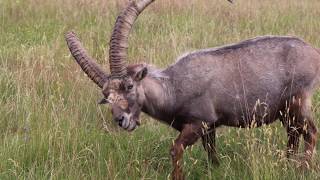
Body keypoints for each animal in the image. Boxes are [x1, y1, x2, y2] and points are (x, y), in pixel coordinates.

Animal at [64, 0, 318, 179]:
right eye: (106, 96)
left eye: (129, 85)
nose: (121, 120)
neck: (173, 88)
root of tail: (313, 52)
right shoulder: (210, 129)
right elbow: (212, 154)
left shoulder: (199, 122)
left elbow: (175, 148)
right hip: (285, 112)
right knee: (293, 136)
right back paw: (287, 165)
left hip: (298, 102)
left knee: (311, 133)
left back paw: (301, 169)